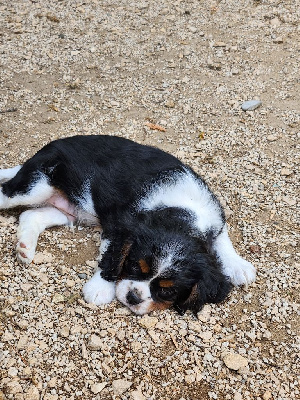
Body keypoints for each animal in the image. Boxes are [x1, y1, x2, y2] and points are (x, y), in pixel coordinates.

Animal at [0, 136, 255, 314]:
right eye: (133, 266)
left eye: (167, 290)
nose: (134, 297)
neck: (182, 211)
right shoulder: (119, 227)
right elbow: (111, 258)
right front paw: (100, 288)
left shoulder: (214, 217)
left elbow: (221, 239)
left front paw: (237, 265)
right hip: (36, 185)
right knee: (6, 193)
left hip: (69, 211)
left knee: (30, 216)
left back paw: (25, 247)